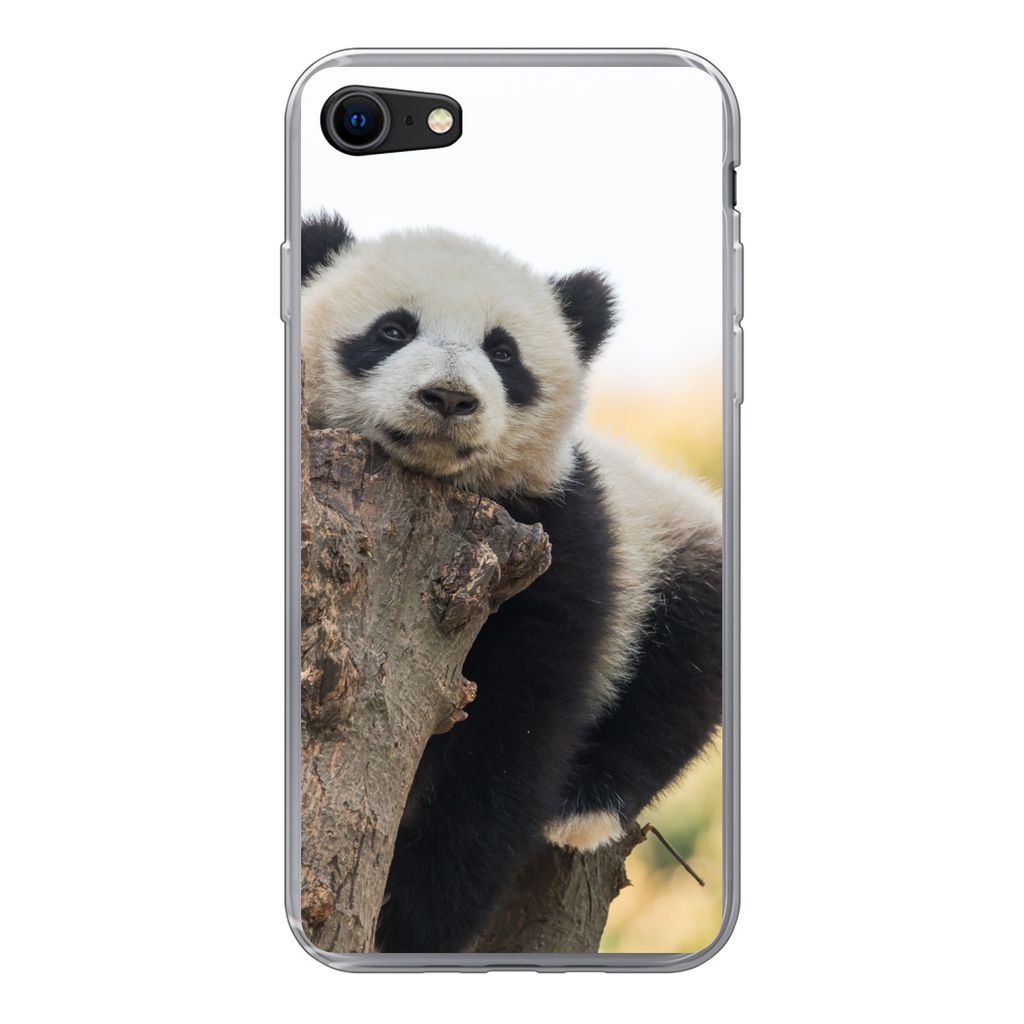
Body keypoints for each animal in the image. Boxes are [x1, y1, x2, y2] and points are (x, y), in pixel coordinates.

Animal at [301, 212, 722, 954]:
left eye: (503, 353)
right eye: (392, 330)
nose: (448, 398)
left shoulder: (557, 535)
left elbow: (515, 726)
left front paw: (413, 919)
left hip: (668, 543)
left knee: (684, 664)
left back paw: (586, 804)